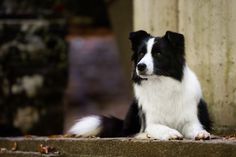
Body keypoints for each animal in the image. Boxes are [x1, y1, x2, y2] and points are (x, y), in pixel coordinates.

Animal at [68, 30, 212, 140]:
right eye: (141, 53)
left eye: (158, 53)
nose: (140, 66)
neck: (161, 83)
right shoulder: (151, 122)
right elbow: (160, 127)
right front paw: (170, 132)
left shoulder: (190, 119)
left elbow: (195, 127)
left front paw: (201, 133)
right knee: (129, 132)